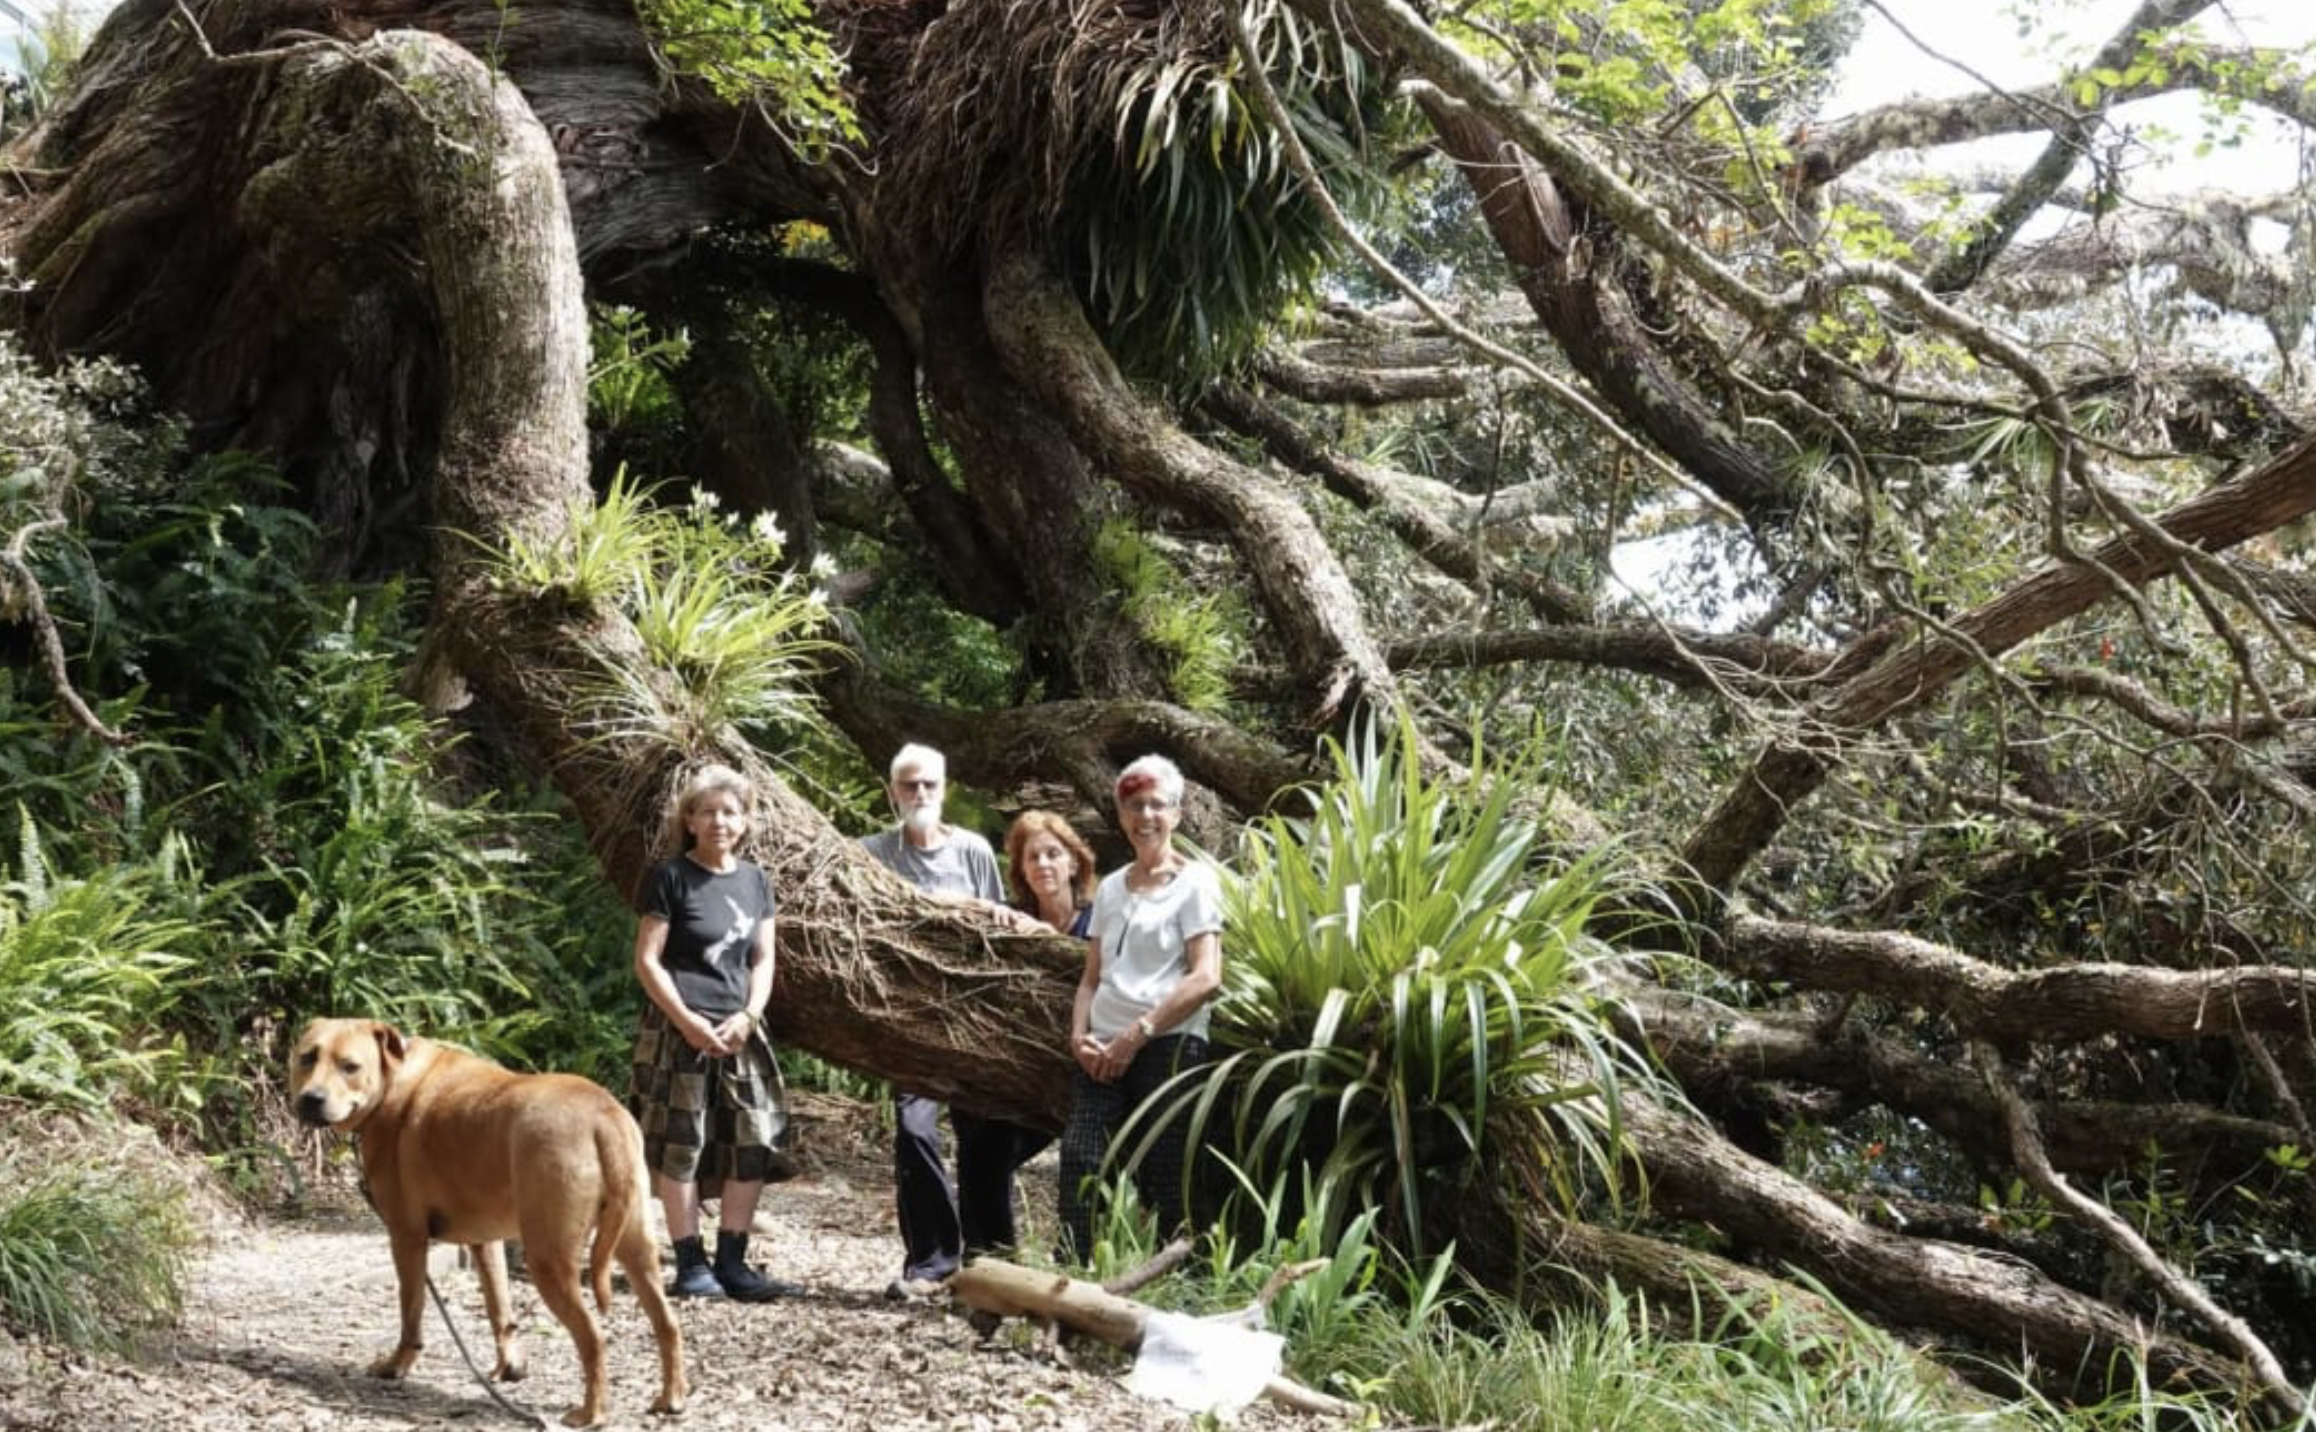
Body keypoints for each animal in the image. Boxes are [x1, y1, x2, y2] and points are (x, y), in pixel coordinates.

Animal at [289, 1010, 685, 1418]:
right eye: (307, 1057)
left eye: (350, 1066)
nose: (311, 1099)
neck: (392, 1078)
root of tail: (602, 1115)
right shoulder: (484, 1242)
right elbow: (499, 1308)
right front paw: (510, 1367)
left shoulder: (407, 1236)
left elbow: (411, 1312)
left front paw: (397, 1365)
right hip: (636, 1248)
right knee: (668, 1324)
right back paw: (670, 1398)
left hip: (549, 1258)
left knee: (593, 1337)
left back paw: (592, 1413)